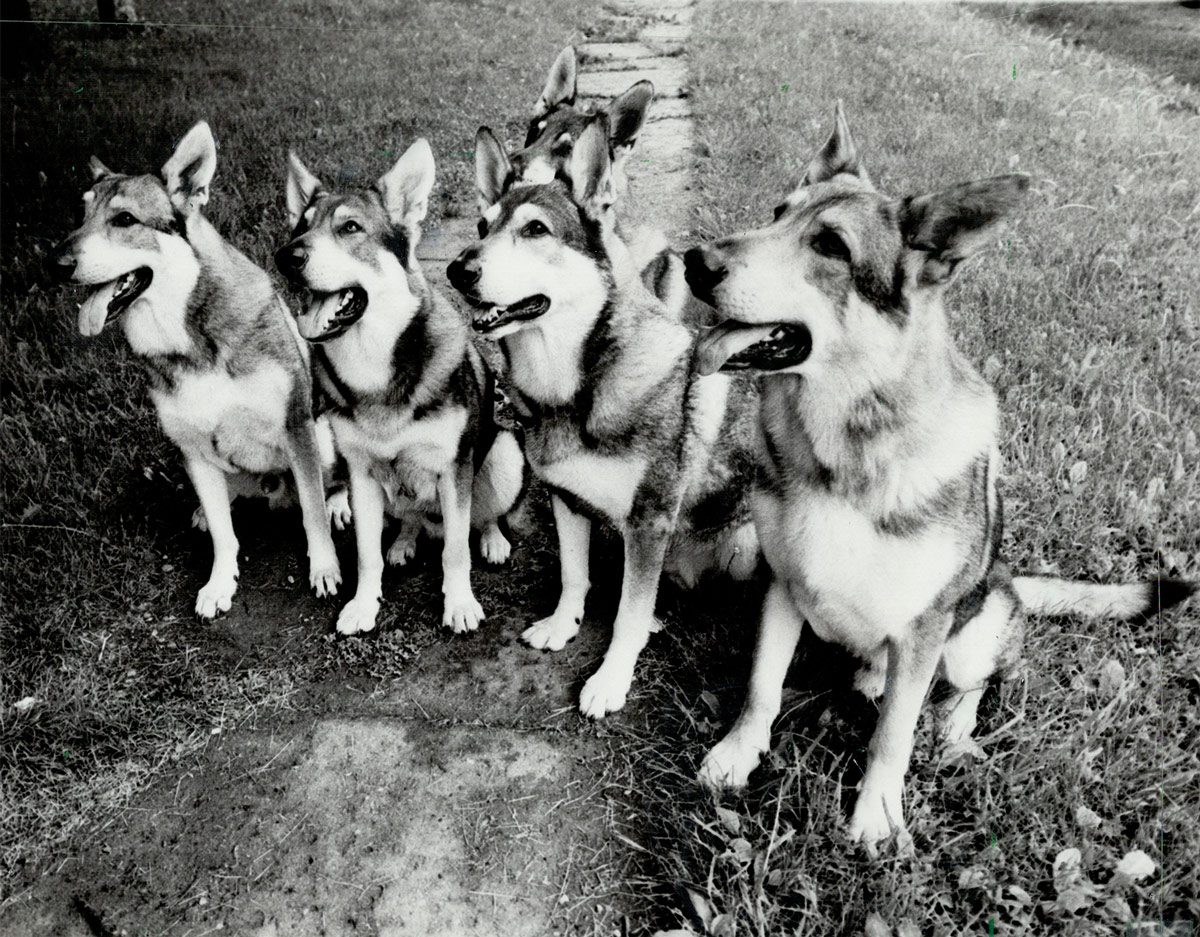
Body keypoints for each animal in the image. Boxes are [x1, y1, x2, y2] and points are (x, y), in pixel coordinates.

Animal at [46, 120, 345, 619]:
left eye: (124, 220)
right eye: (82, 216)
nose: (56, 264)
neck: (190, 336)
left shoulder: (297, 427)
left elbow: (313, 511)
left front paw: (324, 567)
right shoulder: (191, 447)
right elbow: (226, 536)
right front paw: (220, 582)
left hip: (322, 433)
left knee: (330, 482)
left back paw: (339, 501)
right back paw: (207, 511)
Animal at [278, 139, 528, 638]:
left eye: (350, 228)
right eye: (300, 227)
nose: (286, 257)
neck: (374, 368)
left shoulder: (454, 471)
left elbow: (456, 550)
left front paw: (459, 603)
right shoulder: (362, 475)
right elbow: (366, 554)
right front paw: (363, 605)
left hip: (504, 455)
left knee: (484, 516)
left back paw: (492, 540)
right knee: (410, 519)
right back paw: (405, 542)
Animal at [446, 116, 763, 715]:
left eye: (536, 230)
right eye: (481, 225)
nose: (457, 269)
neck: (576, 390)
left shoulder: (648, 523)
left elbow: (625, 617)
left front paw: (612, 678)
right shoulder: (566, 499)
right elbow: (575, 575)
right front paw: (561, 625)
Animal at [681, 102, 1195, 849]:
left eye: (830, 246)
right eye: (777, 213)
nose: (694, 261)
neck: (845, 450)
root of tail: (1012, 580)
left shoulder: (924, 630)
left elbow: (893, 734)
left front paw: (877, 812)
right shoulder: (782, 586)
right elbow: (762, 688)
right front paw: (739, 753)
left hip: (976, 626)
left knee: (969, 687)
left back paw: (953, 734)